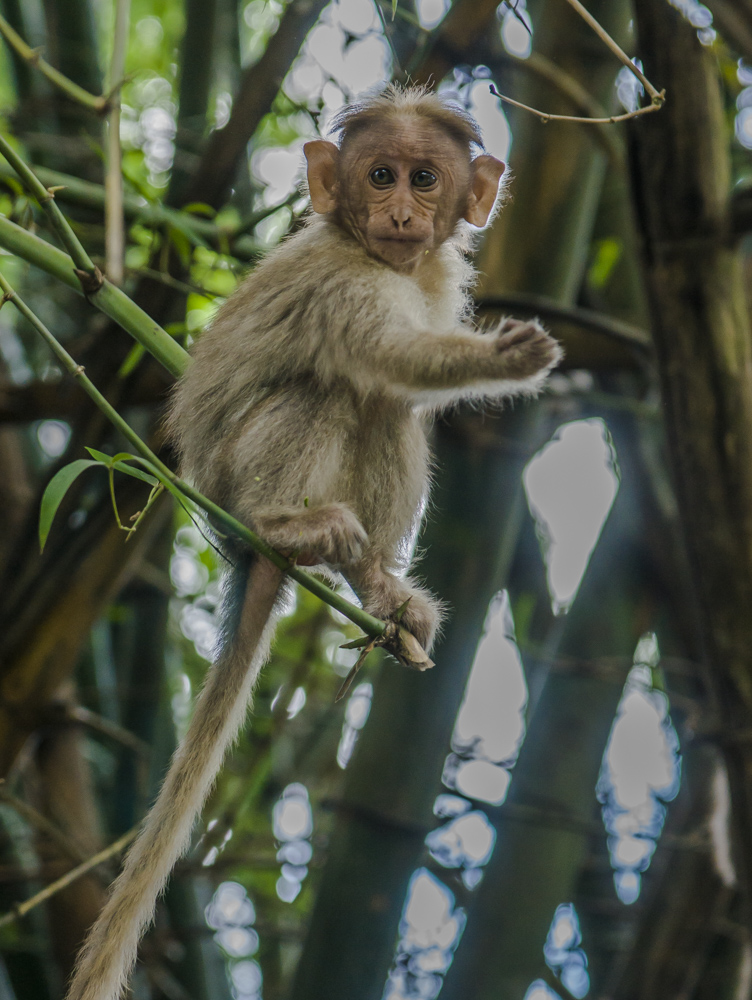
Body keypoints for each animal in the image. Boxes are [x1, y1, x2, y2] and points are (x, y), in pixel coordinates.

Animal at [66, 86, 560, 1000]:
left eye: (425, 178)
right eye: (379, 174)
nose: (400, 211)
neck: (382, 258)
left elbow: (403, 379)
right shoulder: (343, 280)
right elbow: (393, 355)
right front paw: (511, 359)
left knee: (383, 409)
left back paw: (374, 586)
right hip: (227, 484)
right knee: (330, 387)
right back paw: (284, 526)